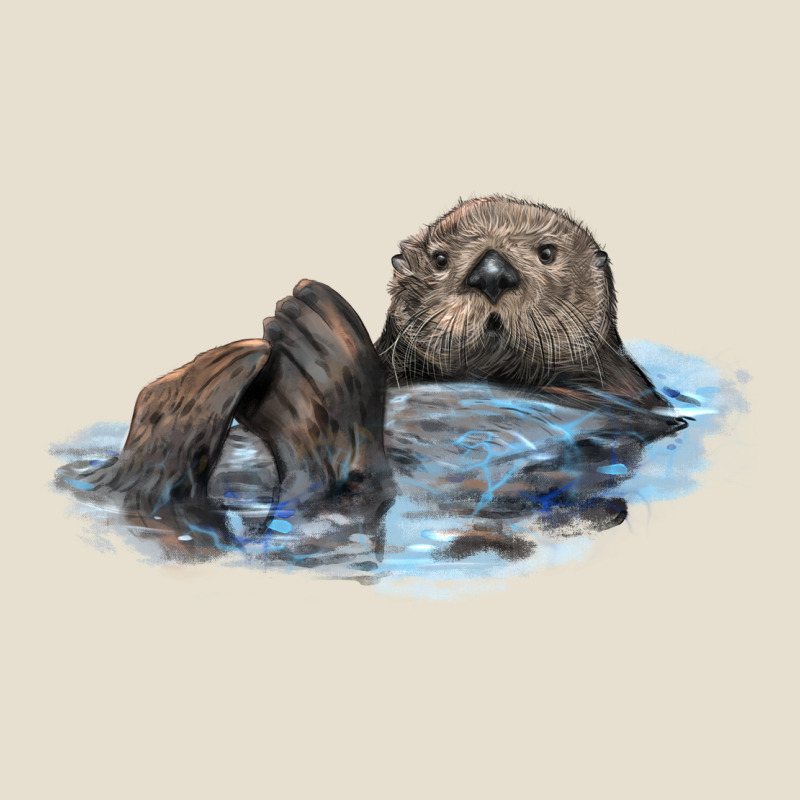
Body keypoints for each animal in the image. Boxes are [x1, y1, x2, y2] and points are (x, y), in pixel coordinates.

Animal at [80, 196, 673, 509]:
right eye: (440, 259)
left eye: (547, 253)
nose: (491, 274)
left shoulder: (621, 390)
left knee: (341, 476)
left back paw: (304, 348)